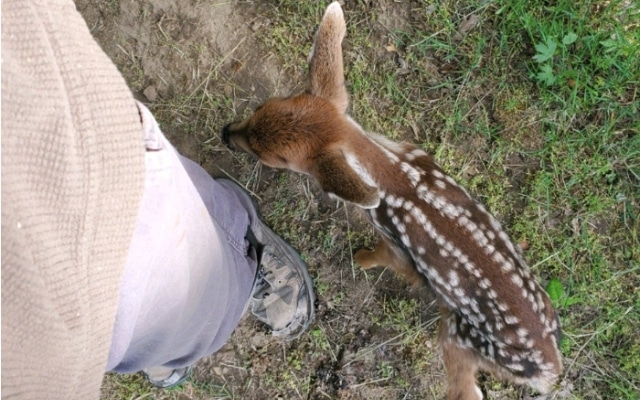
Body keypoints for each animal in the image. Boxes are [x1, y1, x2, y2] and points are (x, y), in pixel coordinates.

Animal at [222, 2, 564, 396]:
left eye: (273, 158)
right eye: (262, 107)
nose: (226, 133)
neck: (396, 174)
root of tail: (548, 371)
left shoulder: (398, 247)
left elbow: (384, 259)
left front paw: (360, 258)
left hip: (457, 336)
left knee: (465, 389)